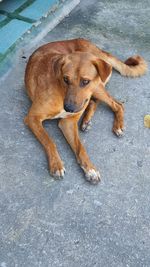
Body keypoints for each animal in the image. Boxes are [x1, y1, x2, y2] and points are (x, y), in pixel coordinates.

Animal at [24, 38, 147, 184]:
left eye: (85, 81)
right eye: (65, 79)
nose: (69, 108)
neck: (61, 92)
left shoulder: (68, 122)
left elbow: (80, 147)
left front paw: (90, 169)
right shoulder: (33, 118)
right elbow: (50, 141)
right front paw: (57, 164)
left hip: (97, 87)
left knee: (117, 104)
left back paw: (117, 125)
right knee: (95, 102)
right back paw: (86, 121)